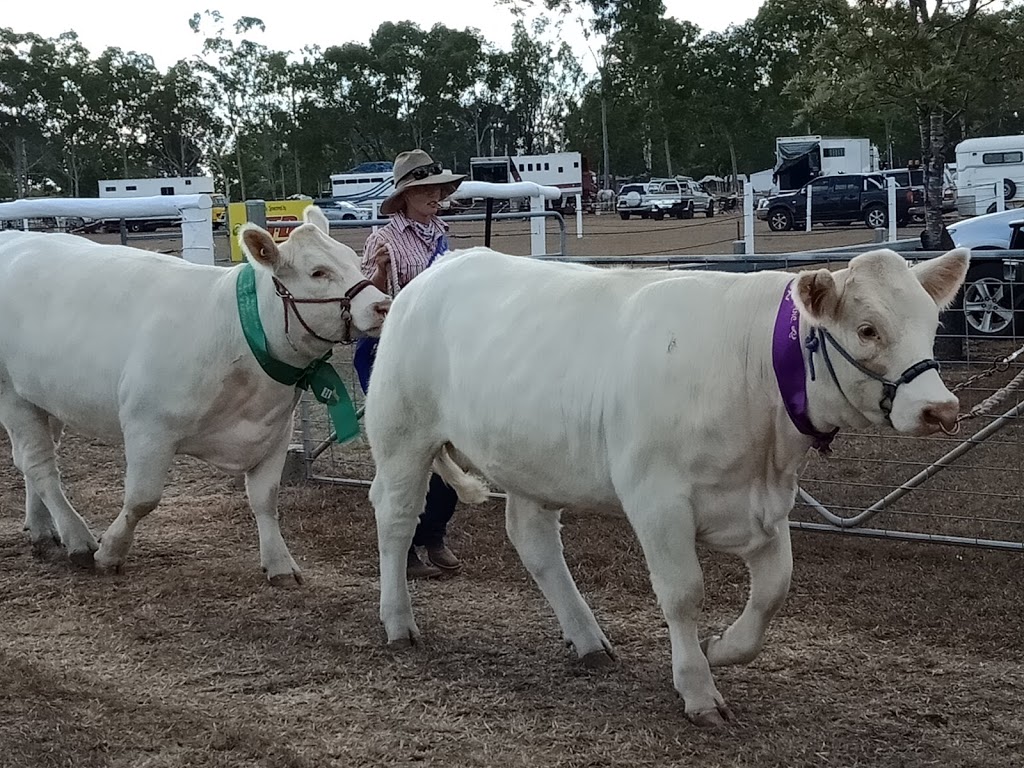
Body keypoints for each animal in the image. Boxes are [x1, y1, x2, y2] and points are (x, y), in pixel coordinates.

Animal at [0, 207, 389, 585]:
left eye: (354, 260)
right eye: (318, 272)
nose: (383, 305)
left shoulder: (276, 430)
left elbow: (265, 499)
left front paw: (279, 563)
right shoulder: (148, 426)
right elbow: (141, 499)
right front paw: (111, 551)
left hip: (43, 399)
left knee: (32, 461)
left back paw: (42, 530)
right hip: (12, 396)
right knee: (39, 466)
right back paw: (77, 539)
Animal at [366, 244, 966, 729]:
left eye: (932, 324)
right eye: (868, 329)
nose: (941, 410)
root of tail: (440, 267)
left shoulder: (766, 505)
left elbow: (773, 591)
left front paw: (720, 648)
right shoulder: (657, 501)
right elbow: (683, 593)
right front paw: (699, 690)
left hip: (531, 460)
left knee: (534, 541)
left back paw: (588, 639)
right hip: (402, 436)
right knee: (396, 519)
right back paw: (398, 623)